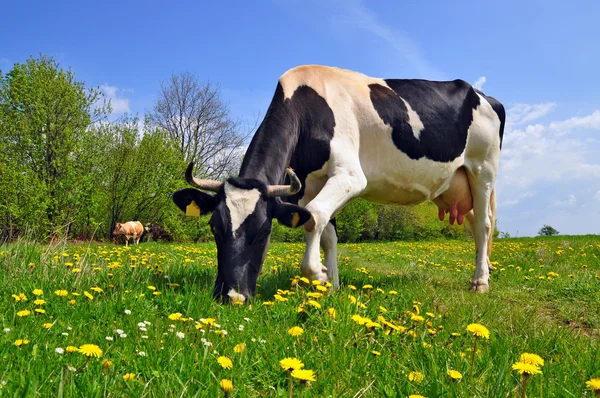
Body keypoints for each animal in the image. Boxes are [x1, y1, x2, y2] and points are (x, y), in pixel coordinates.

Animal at [173, 64, 506, 302]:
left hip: (483, 170)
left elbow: (315, 217)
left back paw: (480, 282)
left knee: (484, 225)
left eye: (264, 230)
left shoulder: (349, 175)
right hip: (457, 183)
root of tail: (484, 95)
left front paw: (318, 275)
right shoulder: (306, 186)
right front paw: (332, 285)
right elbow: (327, 233)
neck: (308, 104)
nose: (230, 296)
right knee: (475, 223)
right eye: (214, 227)